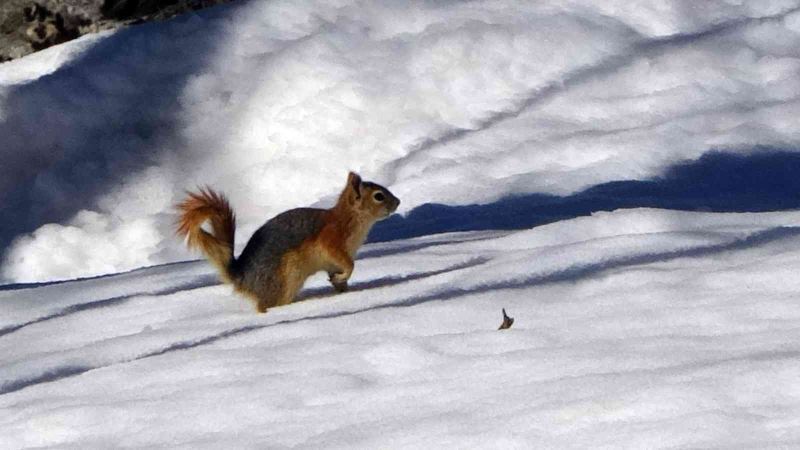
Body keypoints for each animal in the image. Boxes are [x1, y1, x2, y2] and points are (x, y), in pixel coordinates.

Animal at [176, 172, 400, 312]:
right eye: (378, 196)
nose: (398, 202)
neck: (349, 220)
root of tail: (242, 278)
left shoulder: (333, 261)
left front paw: (343, 289)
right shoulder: (331, 240)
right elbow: (349, 264)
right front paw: (345, 278)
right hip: (283, 281)